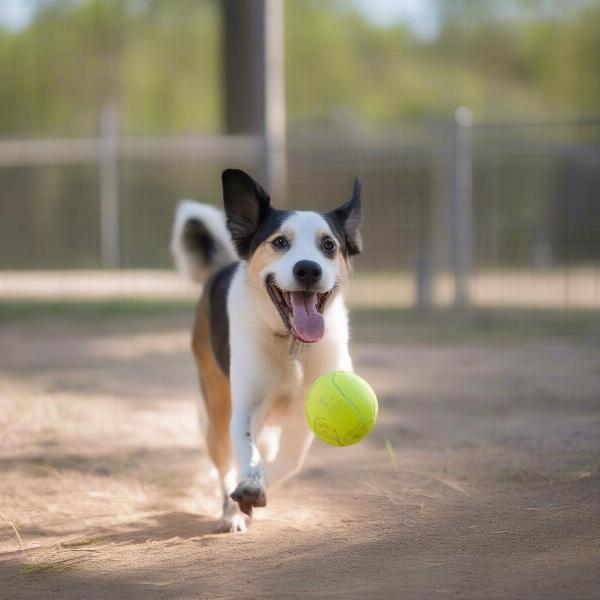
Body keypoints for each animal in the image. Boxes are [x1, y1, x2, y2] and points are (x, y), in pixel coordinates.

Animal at [171, 171, 364, 532]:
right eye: (279, 242)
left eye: (328, 245)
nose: (308, 269)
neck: (292, 345)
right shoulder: (246, 403)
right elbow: (246, 451)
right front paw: (247, 488)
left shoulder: (305, 418)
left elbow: (287, 462)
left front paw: (258, 485)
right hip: (216, 406)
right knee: (224, 461)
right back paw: (230, 513)